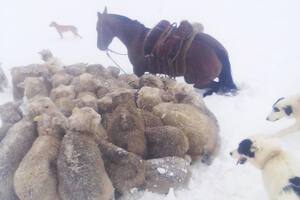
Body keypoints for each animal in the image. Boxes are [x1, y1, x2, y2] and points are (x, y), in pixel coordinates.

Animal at [96, 8, 237, 97]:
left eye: (98, 28)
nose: (100, 47)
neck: (136, 38)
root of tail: (217, 49)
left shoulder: (138, 70)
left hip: (198, 81)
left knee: (218, 86)